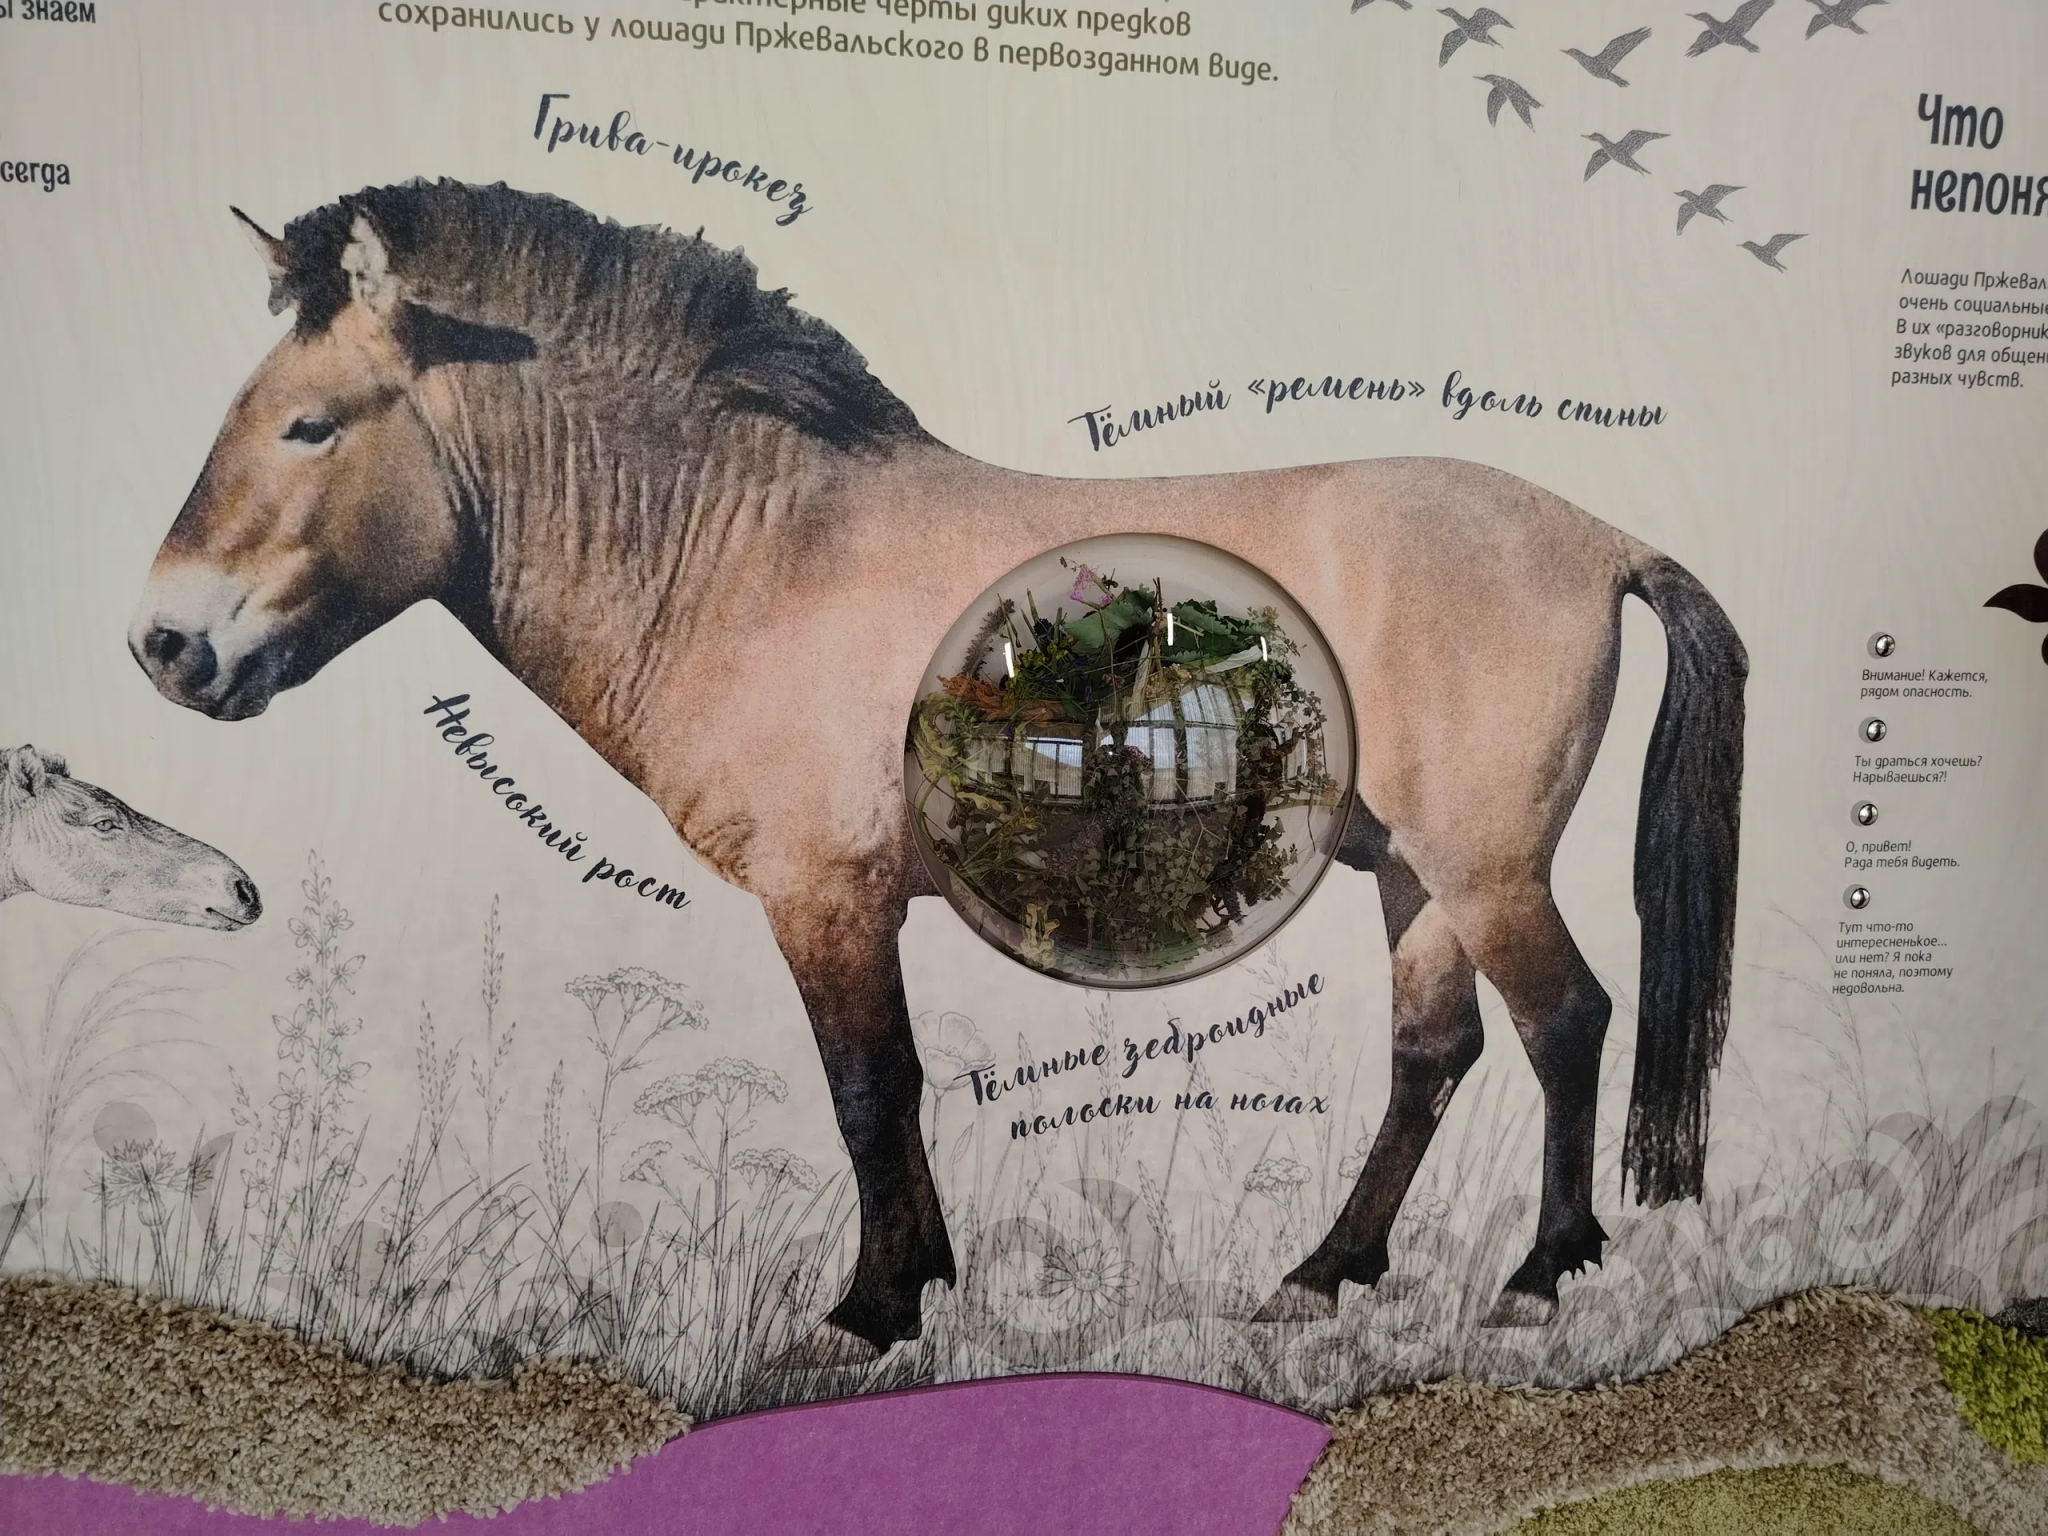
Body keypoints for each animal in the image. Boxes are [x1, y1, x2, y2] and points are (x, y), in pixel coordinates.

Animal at [128, 180, 1745, 1360]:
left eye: (310, 423)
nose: (163, 645)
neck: (758, 554)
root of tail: (1600, 539)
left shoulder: (827, 897)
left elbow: (867, 1087)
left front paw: (869, 1310)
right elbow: (889, 1090)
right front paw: (920, 1285)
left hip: (1486, 868)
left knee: (1566, 1021)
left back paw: (1537, 1280)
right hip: (1413, 873)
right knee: (1433, 1053)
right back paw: (1318, 1276)